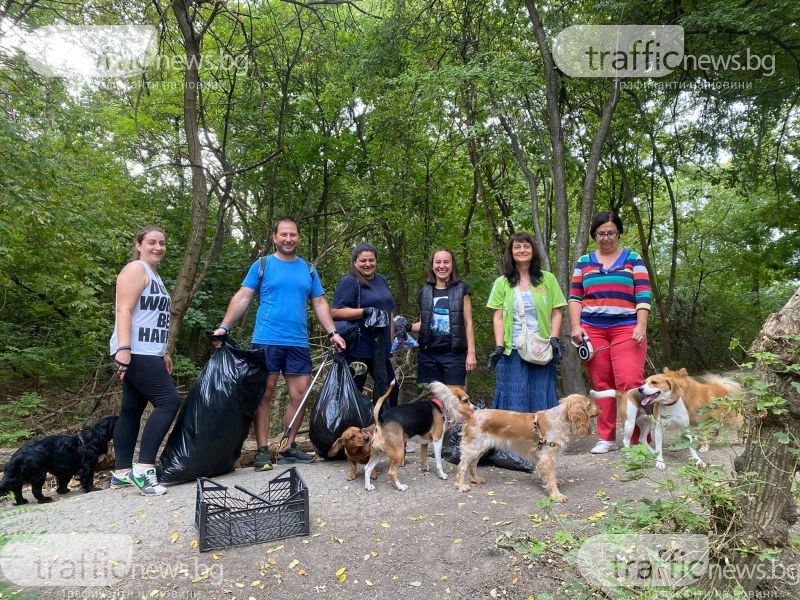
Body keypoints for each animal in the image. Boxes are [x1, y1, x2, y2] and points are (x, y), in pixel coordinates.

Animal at [456, 394, 600, 502]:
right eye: (589, 404)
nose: (600, 409)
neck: (560, 418)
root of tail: (473, 413)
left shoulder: (542, 456)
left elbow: (548, 475)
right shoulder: (547, 457)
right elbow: (551, 477)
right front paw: (556, 495)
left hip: (480, 448)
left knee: (473, 464)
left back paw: (476, 479)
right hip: (473, 447)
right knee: (462, 466)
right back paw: (461, 486)